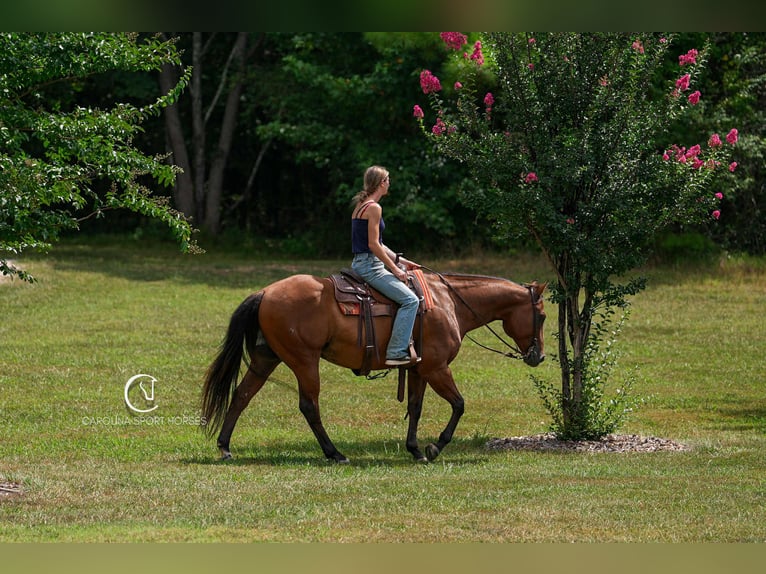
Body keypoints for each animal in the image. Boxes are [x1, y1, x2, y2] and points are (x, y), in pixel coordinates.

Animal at [201, 269, 547, 464]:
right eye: (542, 316)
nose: (540, 356)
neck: (449, 303)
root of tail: (265, 292)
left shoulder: (419, 369)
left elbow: (416, 407)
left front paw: (415, 449)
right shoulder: (437, 368)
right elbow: (459, 405)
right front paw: (435, 447)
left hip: (266, 358)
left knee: (242, 395)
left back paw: (225, 447)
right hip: (304, 361)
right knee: (309, 406)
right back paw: (334, 453)